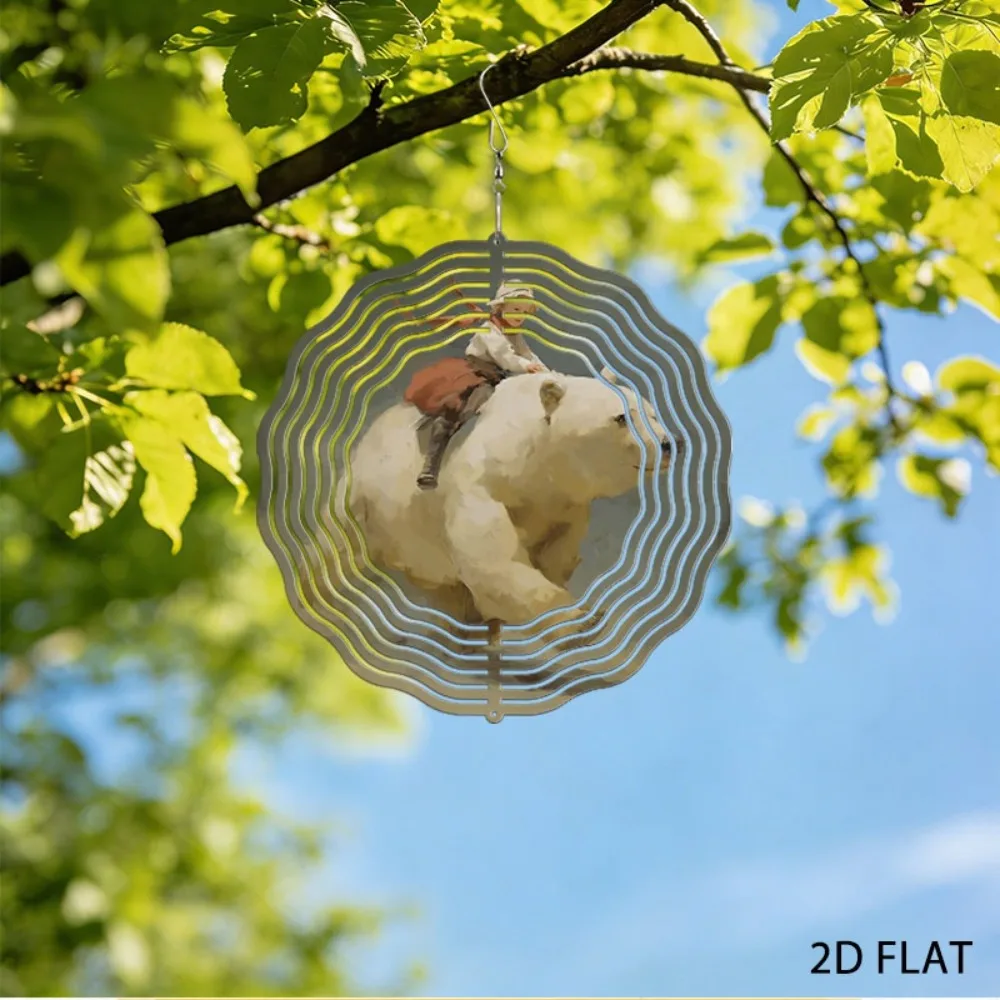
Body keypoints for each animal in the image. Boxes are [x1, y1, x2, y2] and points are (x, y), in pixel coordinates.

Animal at [339, 370, 674, 631]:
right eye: (621, 417)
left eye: (652, 412)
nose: (671, 443)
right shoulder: (481, 481)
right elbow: (494, 561)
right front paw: (579, 619)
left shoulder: (564, 502)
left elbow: (558, 549)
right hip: (365, 504)